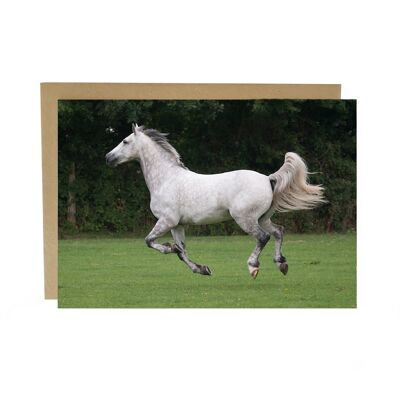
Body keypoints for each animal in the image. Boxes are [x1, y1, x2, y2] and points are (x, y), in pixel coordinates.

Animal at [106, 124, 324, 278]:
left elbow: (150, 241)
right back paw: (281, 264)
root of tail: (267, 179)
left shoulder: (166, 221)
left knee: (263, 237)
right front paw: (203, 269)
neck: (166, 179)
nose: (108, 158)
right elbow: (182, 252)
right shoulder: (177, 225)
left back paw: (253, 267)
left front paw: (169, 248)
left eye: (125, 141)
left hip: (245, 219)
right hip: (263, 218)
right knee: (278, 232)